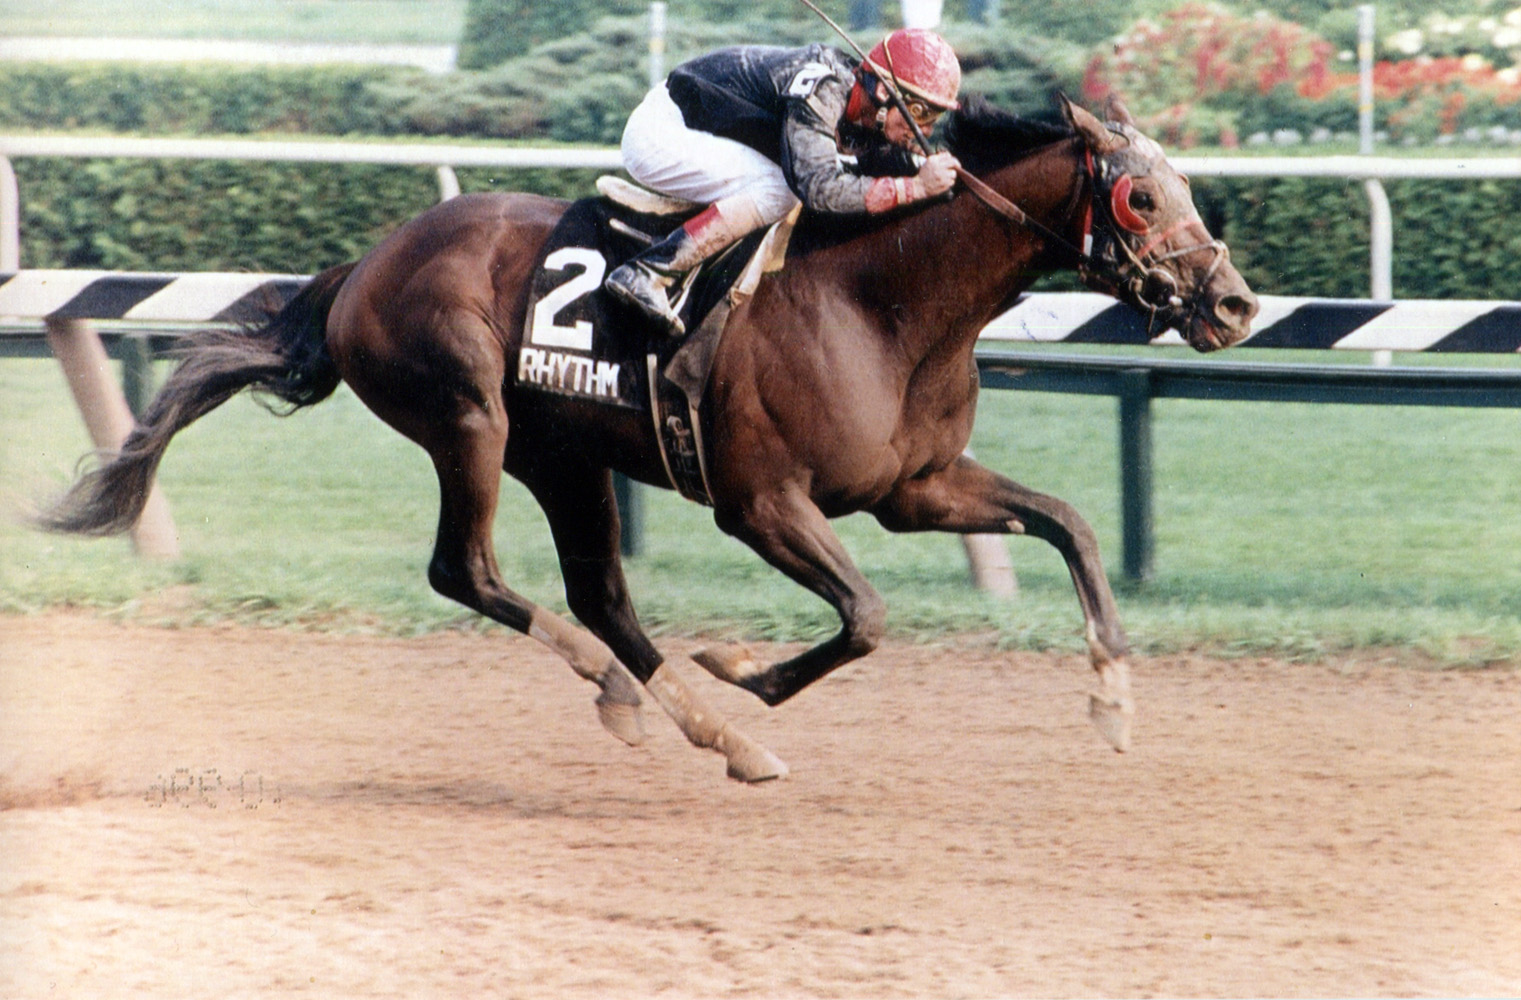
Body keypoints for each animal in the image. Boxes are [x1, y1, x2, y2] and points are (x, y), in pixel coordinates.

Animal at [44, 95, 1259, 779]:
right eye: (1142, 198)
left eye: (1182, 188)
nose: (1235, 304)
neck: (881, 299)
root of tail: (368, 260)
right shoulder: (762, 502)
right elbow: (865, 617)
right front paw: (742, 667)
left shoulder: (914, 486)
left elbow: (1069, 523)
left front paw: (1112, 701)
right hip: (471, 418)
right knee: (469, 571)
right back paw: (652, 696)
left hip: (564, 456)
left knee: (601, 597)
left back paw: (693, 723)